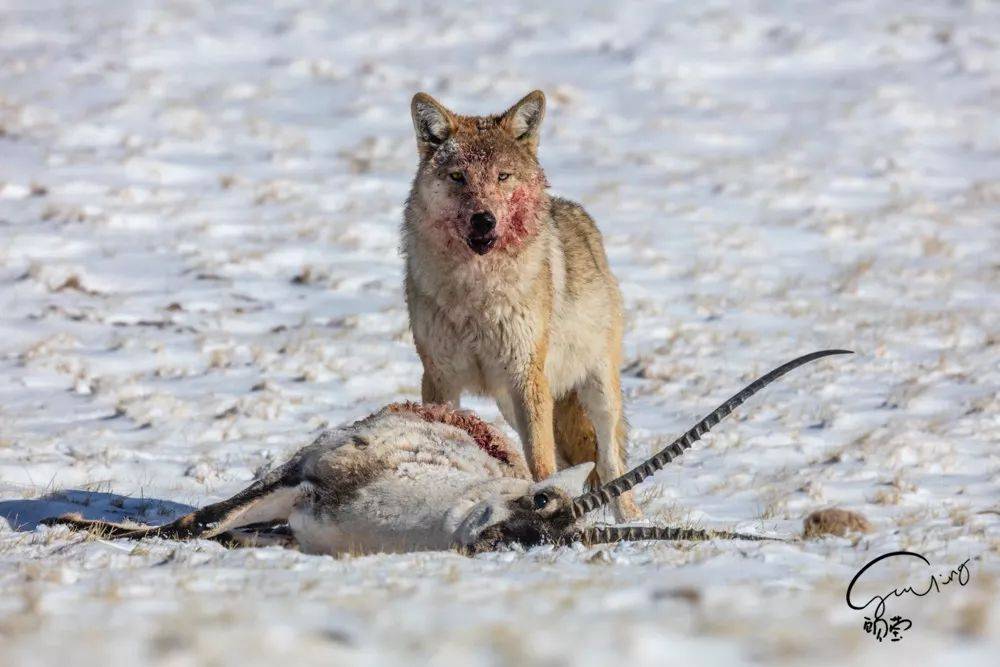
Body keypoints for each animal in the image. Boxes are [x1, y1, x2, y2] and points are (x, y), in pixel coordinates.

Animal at [43, 350, 848, 552]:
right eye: (540, 500)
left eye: (553, 542)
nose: (499, 538)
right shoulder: (307, 477)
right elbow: (190, 524)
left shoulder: (298, 526)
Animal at [400, 88, 640, 520]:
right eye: (458, 177)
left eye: (502, 176)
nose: (484, 220)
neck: (476, 291)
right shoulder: (439, 377)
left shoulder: (526, 376)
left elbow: (542, 463)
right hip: (512, 403)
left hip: (594, 393)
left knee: (610, 461)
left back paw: (632, 520)